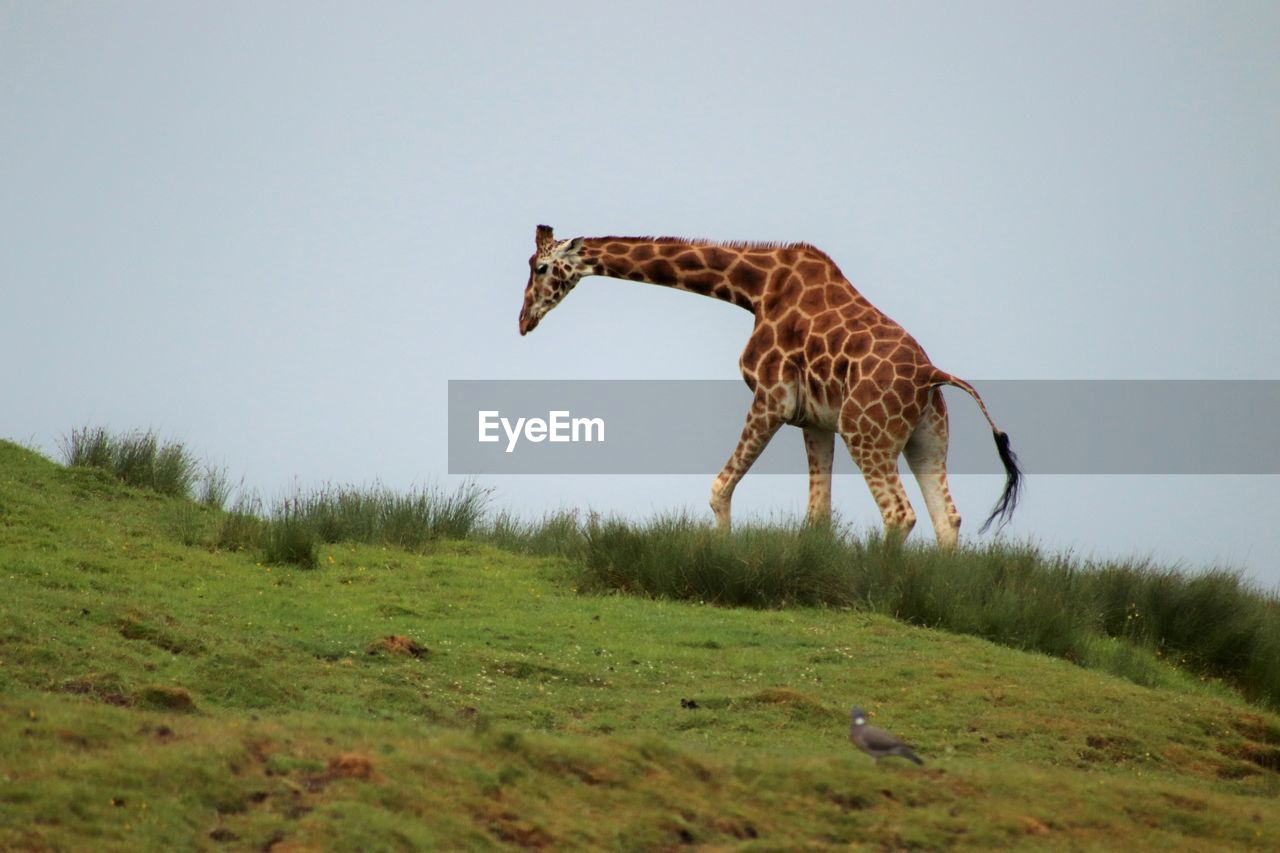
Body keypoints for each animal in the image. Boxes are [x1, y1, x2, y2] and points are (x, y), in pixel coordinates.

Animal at [512, 224, 1018, 545]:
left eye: (540, 268)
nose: (522, 321)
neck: (754, 288)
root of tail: (933, 375)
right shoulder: (816, 421)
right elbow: (817, 517)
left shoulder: (771, 397)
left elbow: (719, 489)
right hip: (926, 439)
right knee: (946, 518)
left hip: (867, 433)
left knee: (899, 514)